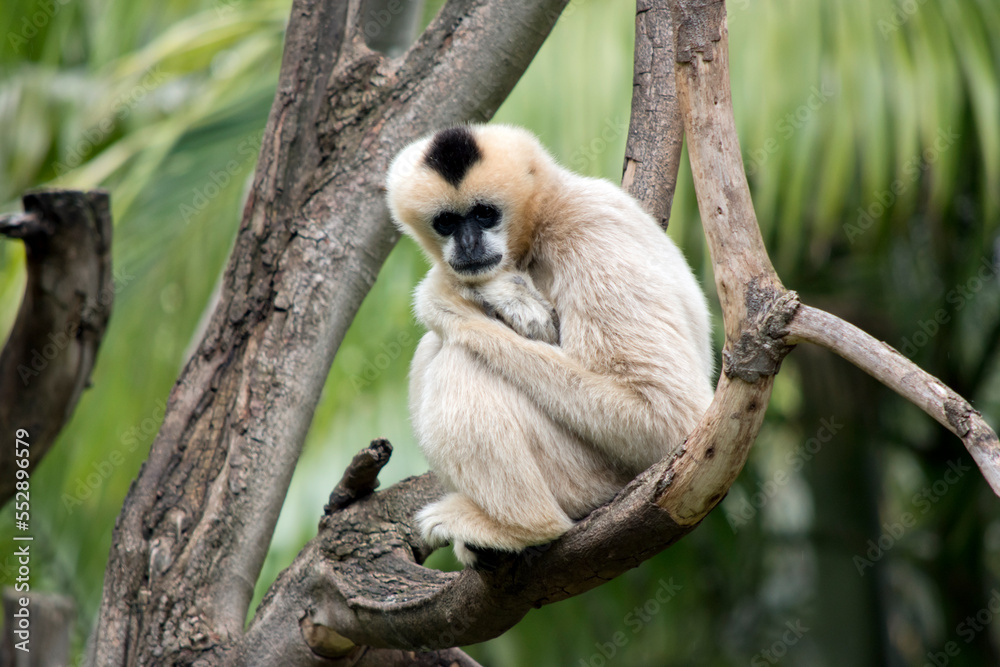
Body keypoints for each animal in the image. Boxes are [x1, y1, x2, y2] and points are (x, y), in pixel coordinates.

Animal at [386, 124, 714, 566]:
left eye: (484, 213)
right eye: (447, 221)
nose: (469, 243)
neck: (539, 222)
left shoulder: (589, 237)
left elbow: (666, 415)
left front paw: (448, 295)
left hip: (591, 477)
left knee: (459, 358)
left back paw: (524, 528)